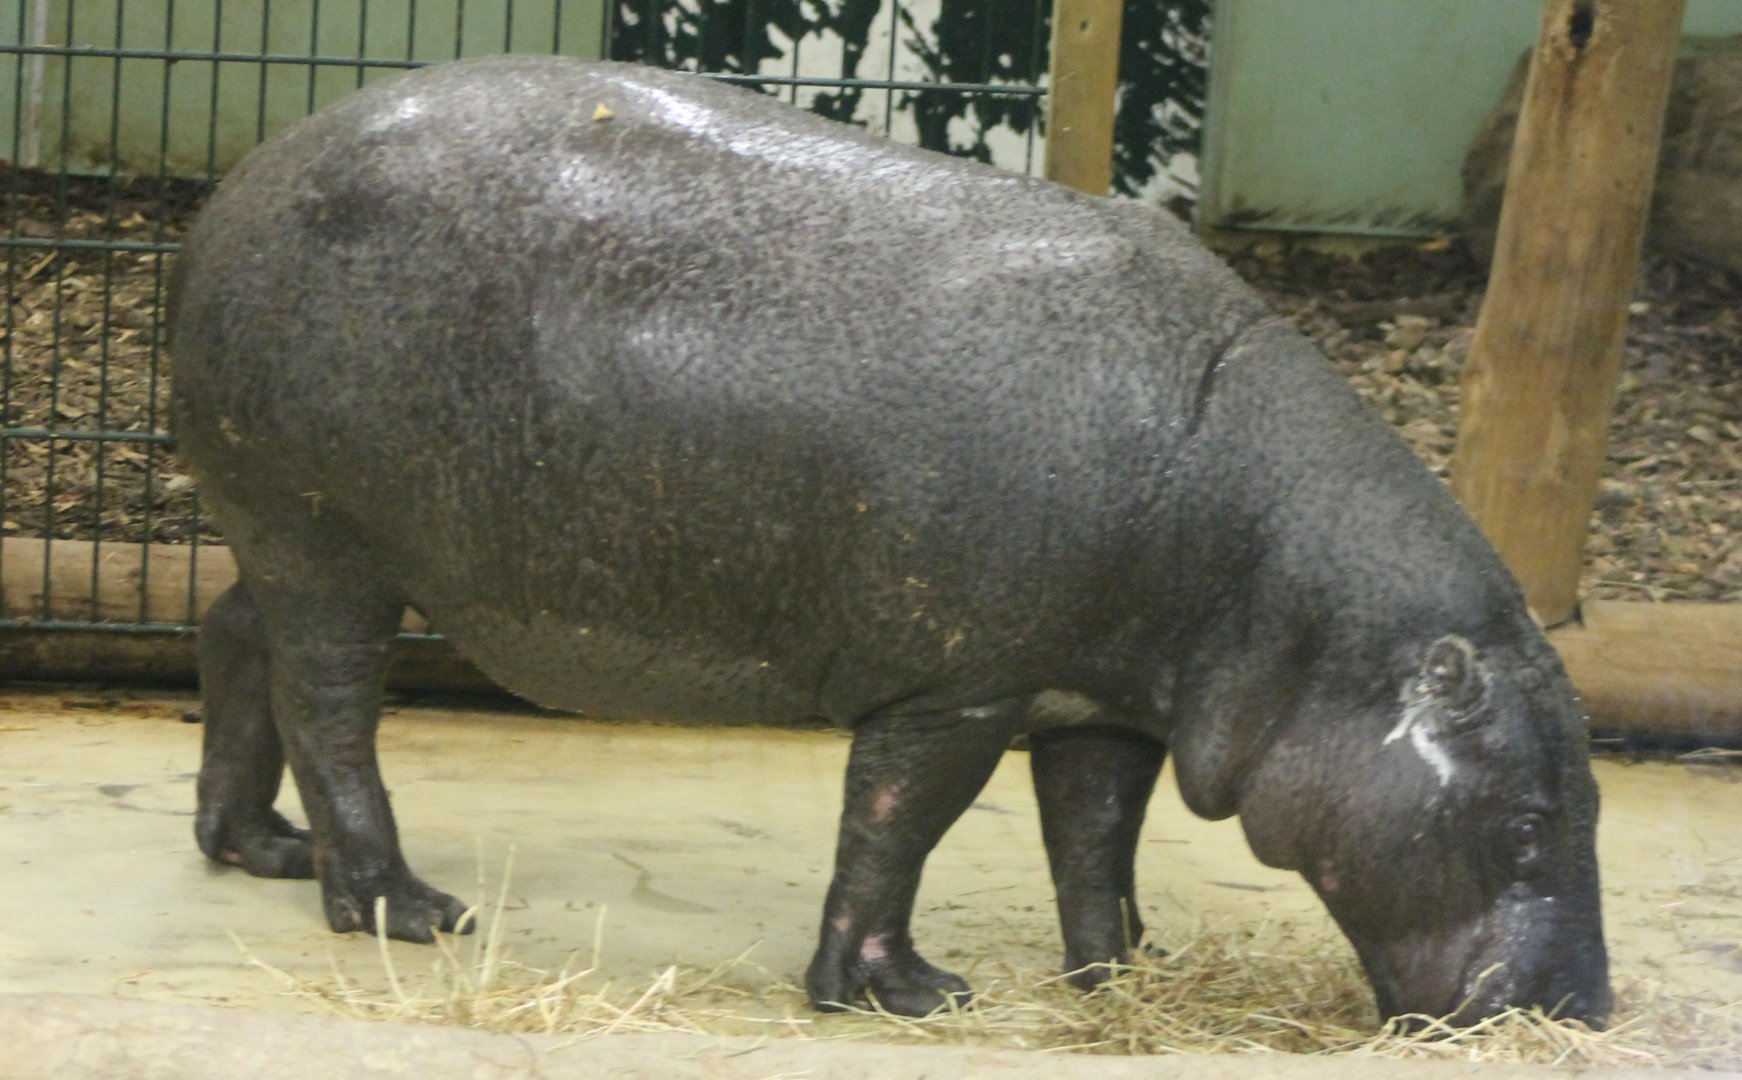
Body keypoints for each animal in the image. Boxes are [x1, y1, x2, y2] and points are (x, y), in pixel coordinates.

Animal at [168, 55, 1610, 1025]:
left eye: (1586, 800)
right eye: (1527, 820)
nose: (1582, 1012)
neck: (1296, 596)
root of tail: (238, 183)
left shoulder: (1100, 695)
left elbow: (1094, 835)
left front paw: (1117, 968)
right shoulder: (957, 686)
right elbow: (894, 829)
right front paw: (903, 991)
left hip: (292, 537)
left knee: (236, 641)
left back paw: (259, 848)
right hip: (329, 539)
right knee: (331, 708)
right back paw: (402, 907)